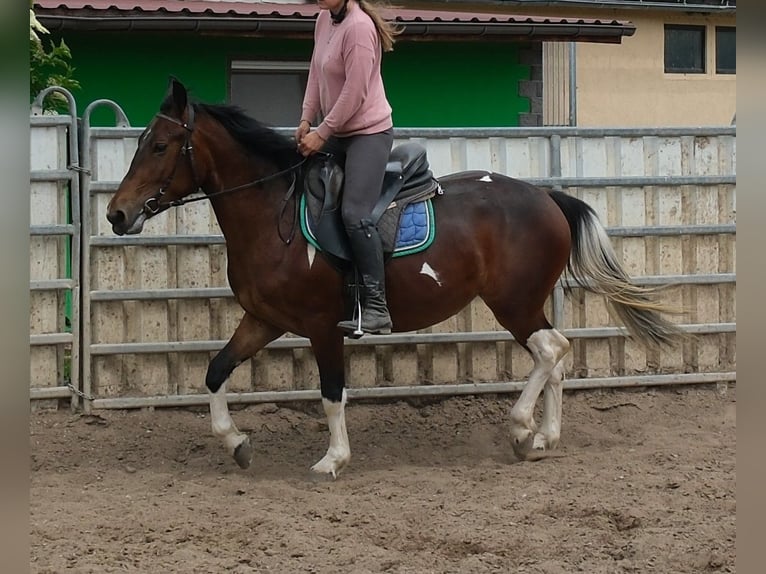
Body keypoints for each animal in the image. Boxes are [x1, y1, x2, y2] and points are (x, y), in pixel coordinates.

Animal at [106, 78, 683, 477]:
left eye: (159, 146)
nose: (116, 214)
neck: (274, 214)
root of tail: (547, 199)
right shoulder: (263, 320)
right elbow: (216, 371)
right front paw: (237, 443)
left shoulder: (323, 326)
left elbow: (331, 393)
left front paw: (333, 459)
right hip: (523, 304)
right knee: (556, 357)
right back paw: (544, 438)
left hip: (514, 303)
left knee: (551, 350)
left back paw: (522, 430)